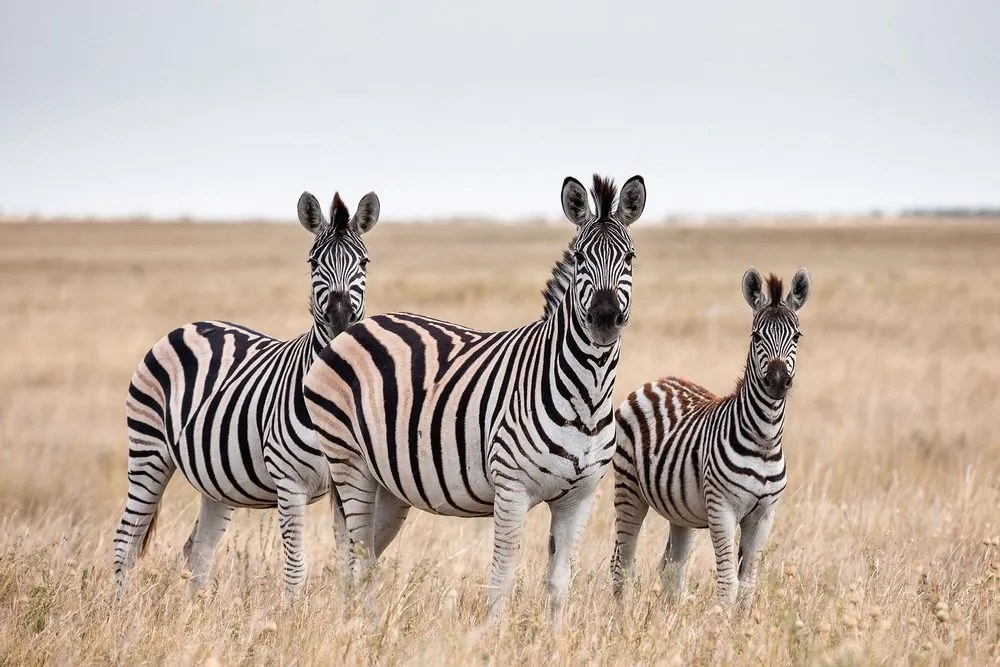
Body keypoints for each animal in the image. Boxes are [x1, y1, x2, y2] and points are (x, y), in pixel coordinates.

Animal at [113, 189, 382, 600]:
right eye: (313, 262)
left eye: (364, 261)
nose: (340, 320)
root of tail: (190, 325)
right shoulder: (289, 482)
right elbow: (296, 569)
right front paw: (292, 616)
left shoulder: (346, 480)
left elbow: (349, 564)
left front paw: (347, 613)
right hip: (148, 449)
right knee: (126, 541)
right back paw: (118, 607)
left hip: (214, 478)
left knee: (198, 548)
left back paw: (196, 612)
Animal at [304, 175, 648, 624]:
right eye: (579, 257)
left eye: (629, 256)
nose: (605, 319)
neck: (587, 395)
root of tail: (353, 329)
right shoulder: (512, 488)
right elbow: (502, 577)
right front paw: (494, 634)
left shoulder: (580, 497)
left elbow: (558, 585)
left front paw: (555, 637)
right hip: (349, 462)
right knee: (356, 553)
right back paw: (365, 626)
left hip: (388, 483)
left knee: (365, 554)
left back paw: (359, 622)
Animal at [608, 268, 812, 612]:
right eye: (756, 337)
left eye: (796, 337)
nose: (777, 381)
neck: (765, 440)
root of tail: (655, 382)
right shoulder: (722, 508)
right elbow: (729, 583)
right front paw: (723, 626)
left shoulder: (764, 514)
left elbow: (748, 584)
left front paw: (742, 626)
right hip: (628, 489)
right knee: (622, 564)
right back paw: (622, 618)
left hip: (680, 512)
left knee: (672, 569)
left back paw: (671, 617)